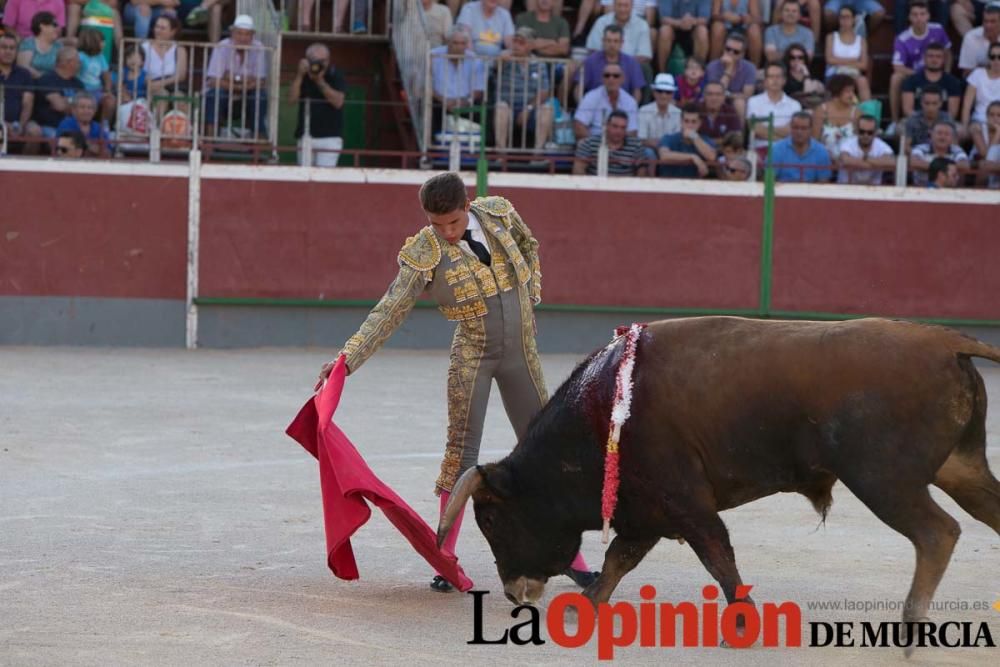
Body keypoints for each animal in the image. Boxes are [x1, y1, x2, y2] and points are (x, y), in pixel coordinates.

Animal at [438, 318, 1000, 648]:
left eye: (491, 519)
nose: (513, 591)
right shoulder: (649, 510)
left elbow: (716, 555)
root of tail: (947, 341)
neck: (604, 408)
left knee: (937, 533)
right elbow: (620, 558)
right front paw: (588, 603)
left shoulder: (682, 501)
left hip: (884, 480)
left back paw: (909, 628)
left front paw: (743, 624)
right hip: (961, 469)